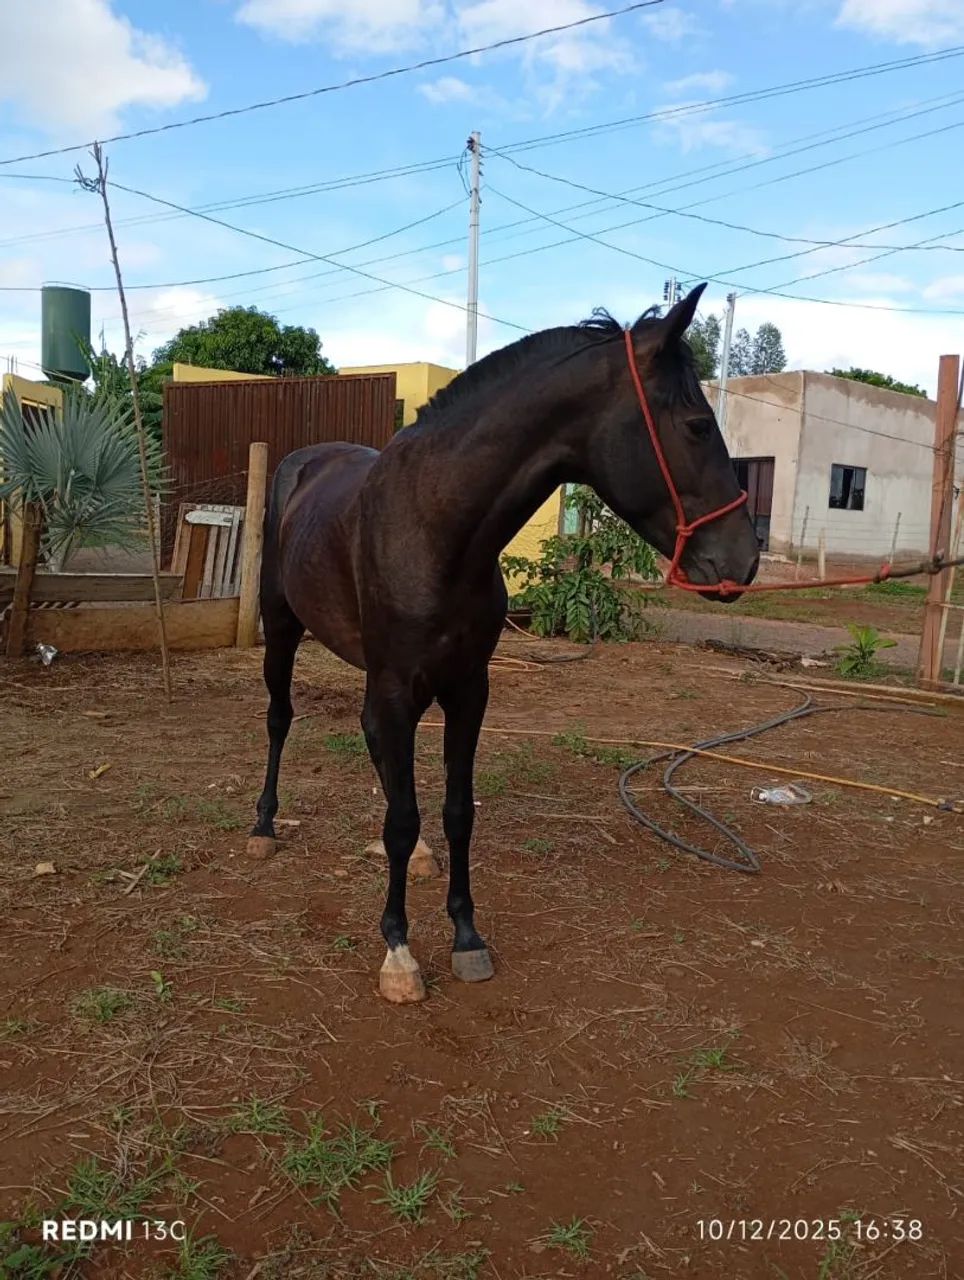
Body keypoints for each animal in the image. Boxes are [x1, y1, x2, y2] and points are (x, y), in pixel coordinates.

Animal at [248, 283, 759, 1004]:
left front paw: (466, 935)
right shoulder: (395, 689)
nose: (744, 560)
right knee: (279, 719)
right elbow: (402, 817)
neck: (435, 527)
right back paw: (263, 826)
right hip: (283, 632)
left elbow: (455, 810)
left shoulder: (468, 690)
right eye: (695, 425)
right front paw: (399, 951)